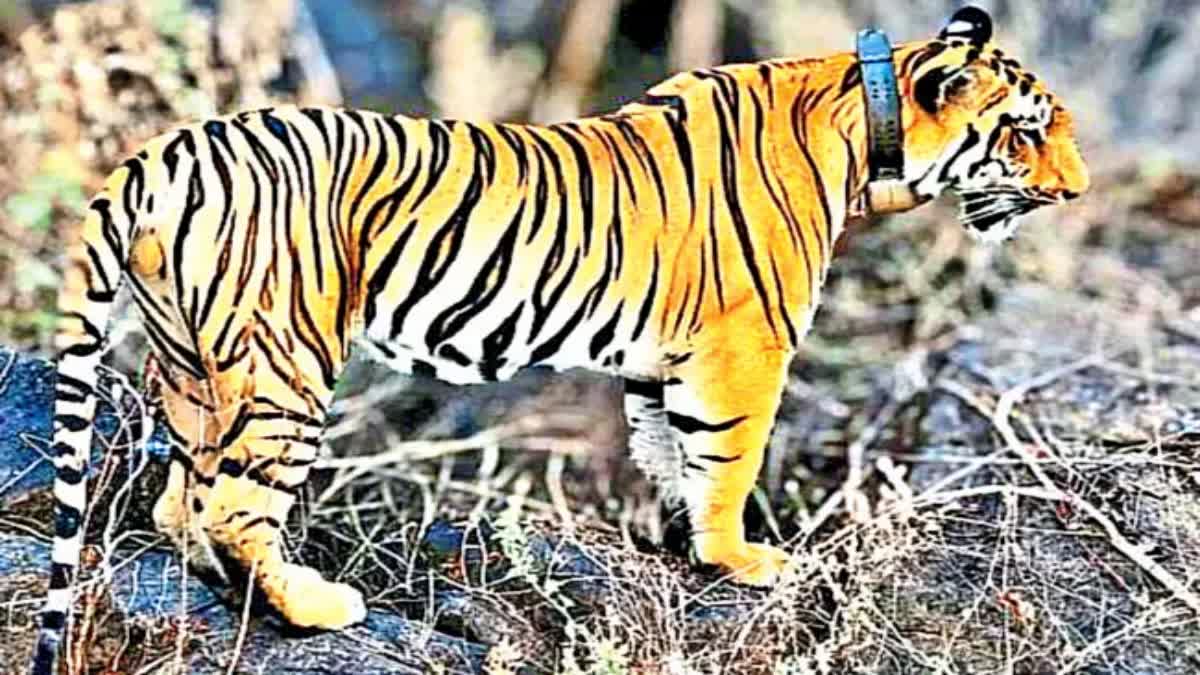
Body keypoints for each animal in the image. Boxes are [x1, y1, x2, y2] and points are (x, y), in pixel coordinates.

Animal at [32, 5, 1087, 670]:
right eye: (1027, 132)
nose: (1076, 191)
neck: (865, 127)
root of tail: (169, 147)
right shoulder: (743, 349)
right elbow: (731, 460)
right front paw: (743, 559)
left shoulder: (666, 361)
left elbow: (672, 453)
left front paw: (676, 544)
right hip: (285, 362)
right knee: (234, 504)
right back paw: (316, 604)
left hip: (188, 362)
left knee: (182, 496)